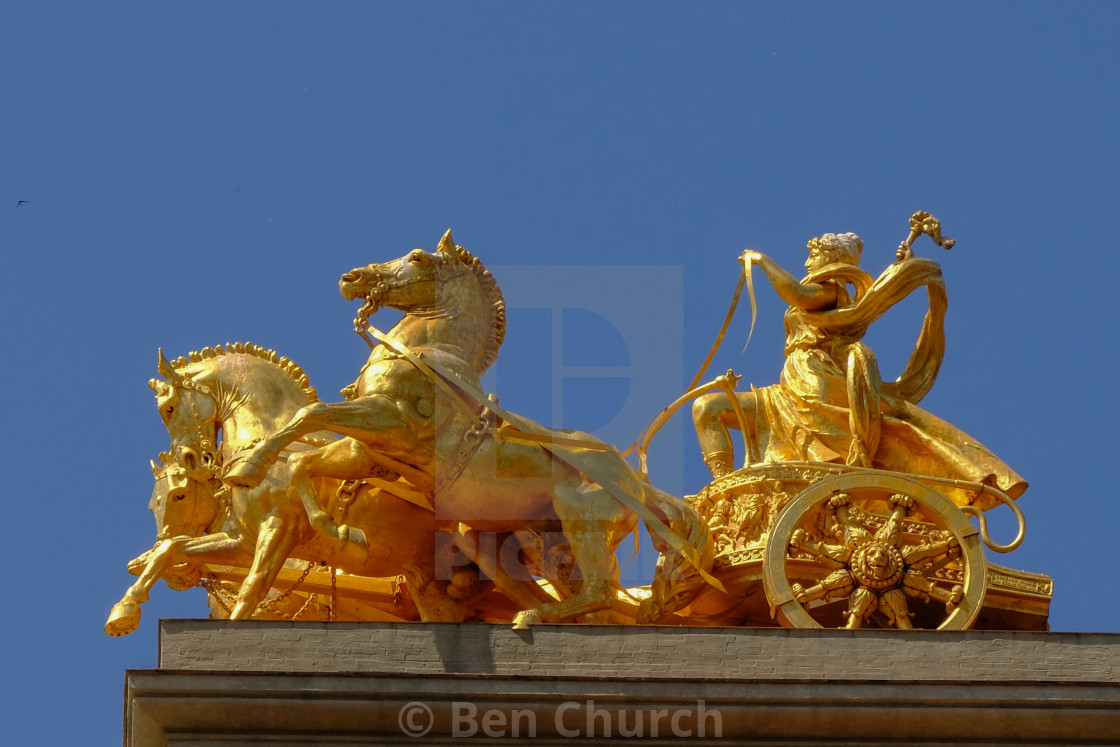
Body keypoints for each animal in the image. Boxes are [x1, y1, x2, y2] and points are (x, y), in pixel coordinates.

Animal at [224, 230, 707, 627]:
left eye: (417, 256)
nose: (352, 276)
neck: (427, 353)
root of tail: (638, 484)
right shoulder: (370, 450)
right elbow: (305, 458)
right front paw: (327, 523)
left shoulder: (393, 422)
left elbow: (310, 414)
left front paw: (248, 468)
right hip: (515, 545)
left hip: (579, 517)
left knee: (600, 592)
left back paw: (535, 616)